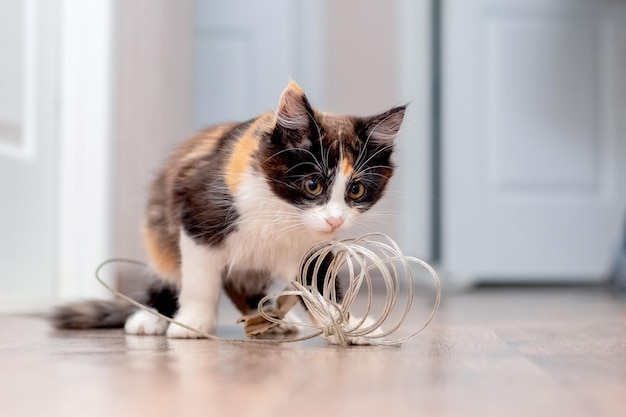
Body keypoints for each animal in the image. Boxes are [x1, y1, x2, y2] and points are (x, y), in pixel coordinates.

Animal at [52, 79, 404, 340]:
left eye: (356, 190)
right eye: (313, 185)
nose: (335, 220)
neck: (280, 209)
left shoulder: (312, 246)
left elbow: (320, 282)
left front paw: (348, 324)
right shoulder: (197, 212)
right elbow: (199, 279)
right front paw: (193, 320)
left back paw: (272, 318)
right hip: (159, 233)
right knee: (168, 273)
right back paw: (152, 316)